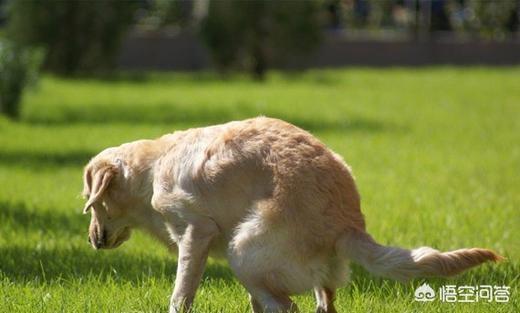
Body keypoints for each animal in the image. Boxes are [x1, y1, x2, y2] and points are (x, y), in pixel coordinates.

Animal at [83, 116, 502, 312]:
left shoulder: (196, 234)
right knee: (320, 303)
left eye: (91, 199)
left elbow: (181, 295)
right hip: (293, 272)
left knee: (288, 306)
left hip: (243, 254)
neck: (152, 169)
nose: (92, 240)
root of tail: (347, 222)